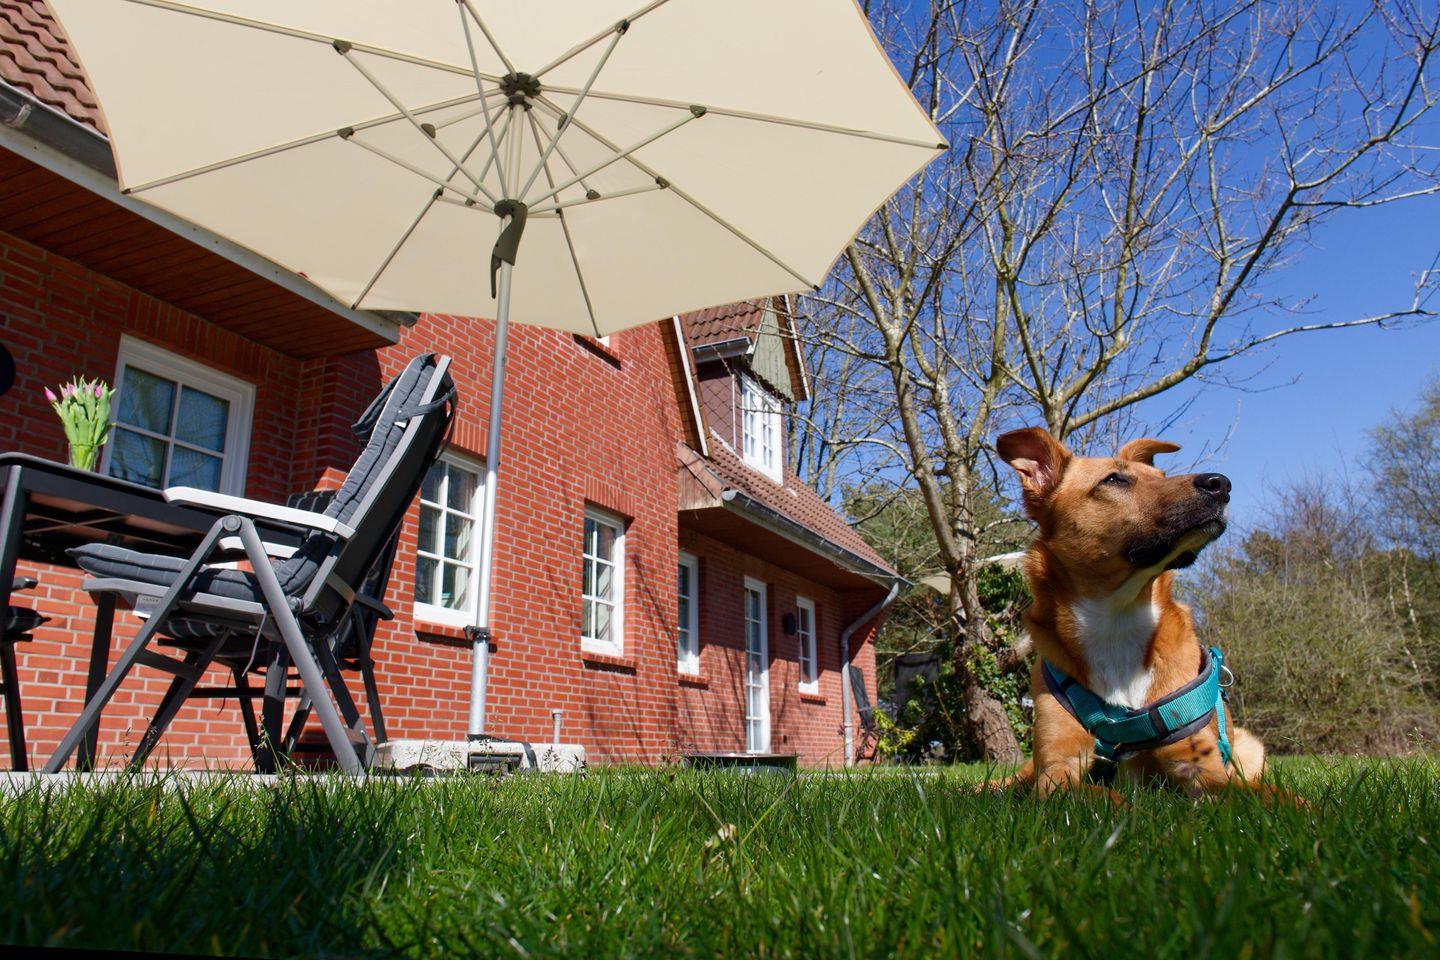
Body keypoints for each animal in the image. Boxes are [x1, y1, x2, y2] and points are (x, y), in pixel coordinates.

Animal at [988, 427, 1268, 800]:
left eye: (1161, 476)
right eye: (1114, 479)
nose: (1220, 483)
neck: (1116, 618)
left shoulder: (1202, 765)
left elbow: (1264, 794)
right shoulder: (1056, 769)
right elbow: (1106, 794)